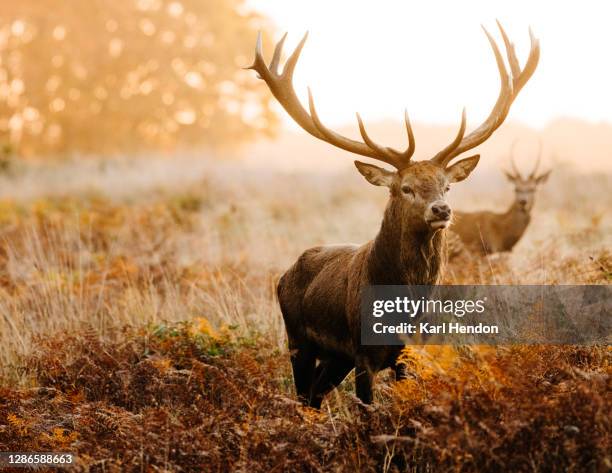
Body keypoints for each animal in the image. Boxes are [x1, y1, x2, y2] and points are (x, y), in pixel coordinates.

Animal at [249, 22, 540, 406]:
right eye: (406, 188)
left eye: (447, 186)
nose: (442, 209)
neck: (400, 307)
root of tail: (284, 275)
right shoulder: (361, 353)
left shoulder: (410, 353)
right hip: (298, 340)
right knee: (303, 395)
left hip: (335, 358)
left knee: (314, 395)